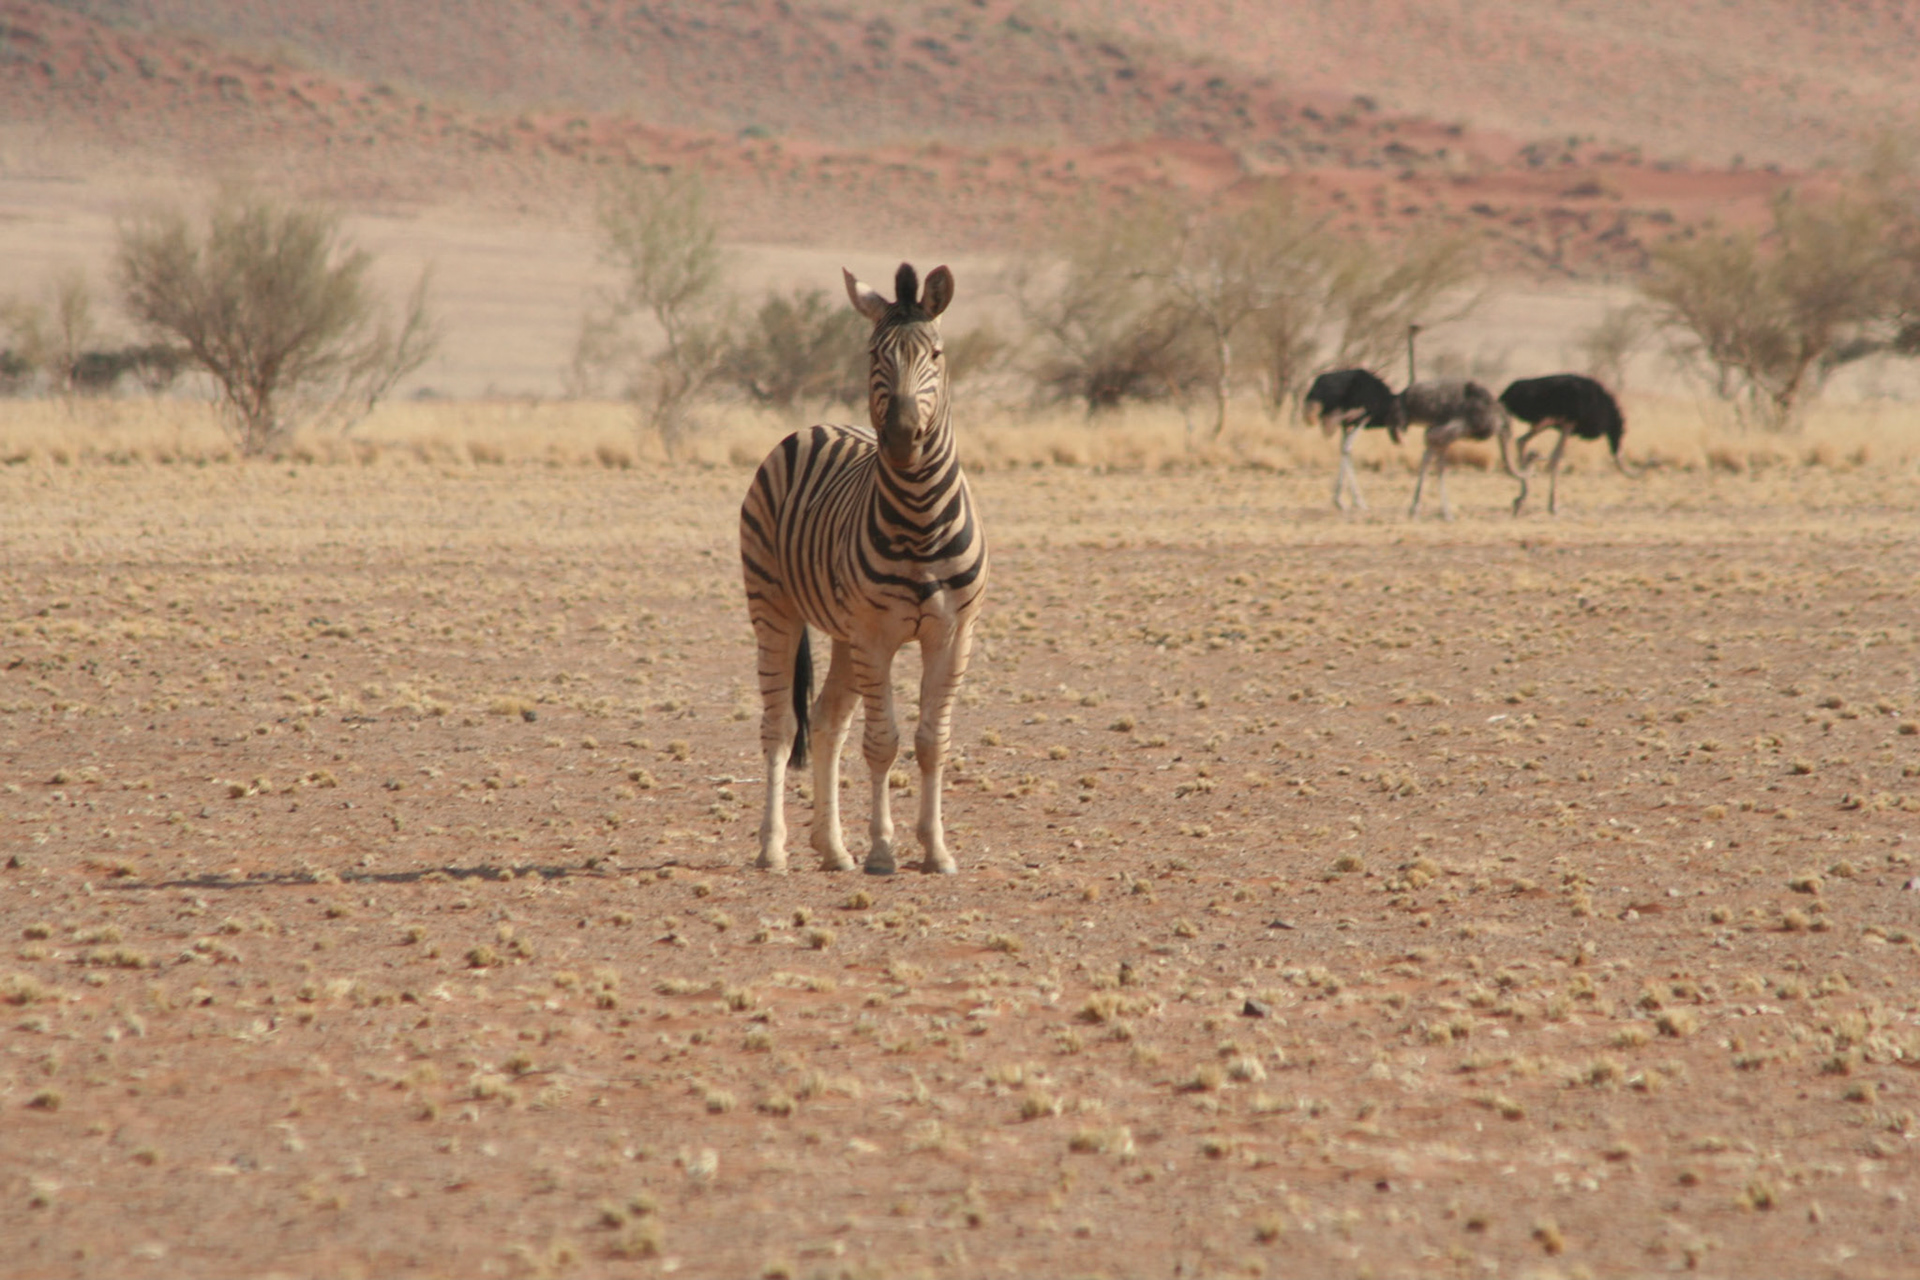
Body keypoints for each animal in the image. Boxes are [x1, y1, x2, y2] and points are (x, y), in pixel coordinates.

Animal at [739, 263, 987, 875]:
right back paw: (773, 848)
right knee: (781, 726)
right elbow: (882, 742)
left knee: (826, 720)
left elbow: (931, 742)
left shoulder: (953, 634)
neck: (921, 518)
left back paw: (831, 848)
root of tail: (817, 425)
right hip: (774, 607)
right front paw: (881, 850)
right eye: (875, 353)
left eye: (936, 354)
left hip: (845, 635)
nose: (900, 435)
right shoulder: (876, 635)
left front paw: (935, 849)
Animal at [1401, 378, 1526, 519]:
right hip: (1449, 429)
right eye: (1517, 501)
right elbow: (1439, 463)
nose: (1518, 506)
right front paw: (1446, 514)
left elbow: (1435, 459)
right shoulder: (1452, 430)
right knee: (1432, 455)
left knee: (1428, 455)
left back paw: (1416, 509)